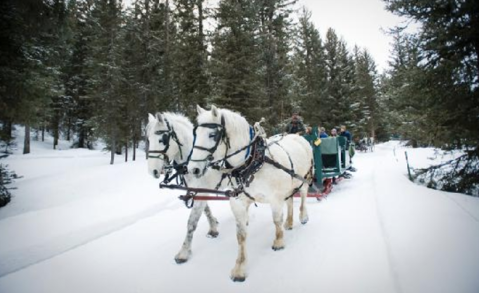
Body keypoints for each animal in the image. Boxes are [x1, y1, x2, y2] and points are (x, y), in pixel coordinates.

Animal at [146, 112, 221, 262]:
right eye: (148, 139)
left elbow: (191, 222)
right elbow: (206, 211)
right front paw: (213, 228)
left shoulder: (202, 192)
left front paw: (184, 252)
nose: (152, 171)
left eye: (162, 139)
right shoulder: (197, 191)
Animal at [188, 105, 316, 280]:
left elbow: (276, 220)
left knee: (302, 195)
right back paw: (289, 222)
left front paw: (278, 242)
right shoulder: (238, 203)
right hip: (289, 184)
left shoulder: (275, 198)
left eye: (212, 135)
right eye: (195, 134)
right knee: (290, 200)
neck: (253, 162)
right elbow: (241, 235)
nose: (192, 169)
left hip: (304, 177)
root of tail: (297, 137)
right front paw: (239, 268)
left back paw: (303, 216)